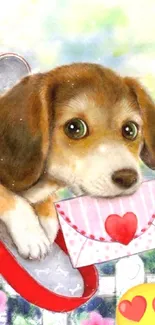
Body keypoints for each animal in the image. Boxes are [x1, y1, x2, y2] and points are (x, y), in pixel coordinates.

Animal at [0, 63, 155, 258]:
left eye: (130, 129)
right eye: (75, 128)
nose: (128, 178)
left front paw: (46, 221)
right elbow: (10, 197)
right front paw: (32, 236)